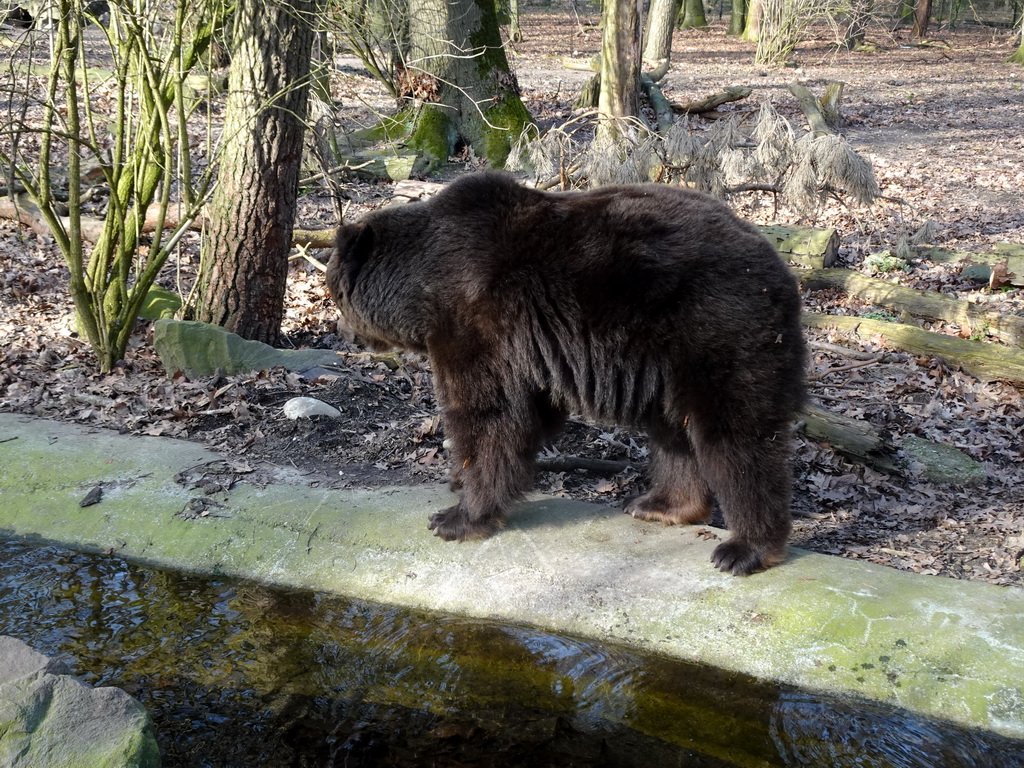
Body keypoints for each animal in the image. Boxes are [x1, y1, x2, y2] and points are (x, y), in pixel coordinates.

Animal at [327, 169, 806, 577]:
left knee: (736, 438)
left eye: (333, 290)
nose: (342, 333)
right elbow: (529, 414)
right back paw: (661, 504)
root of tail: (781, 269)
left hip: (714, 328)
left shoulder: (474, 317)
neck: (419, 286)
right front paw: (458, 482)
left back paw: (745, 548)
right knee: (675, 430)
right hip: (668, 361)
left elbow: (488, 413)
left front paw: (456, 517)